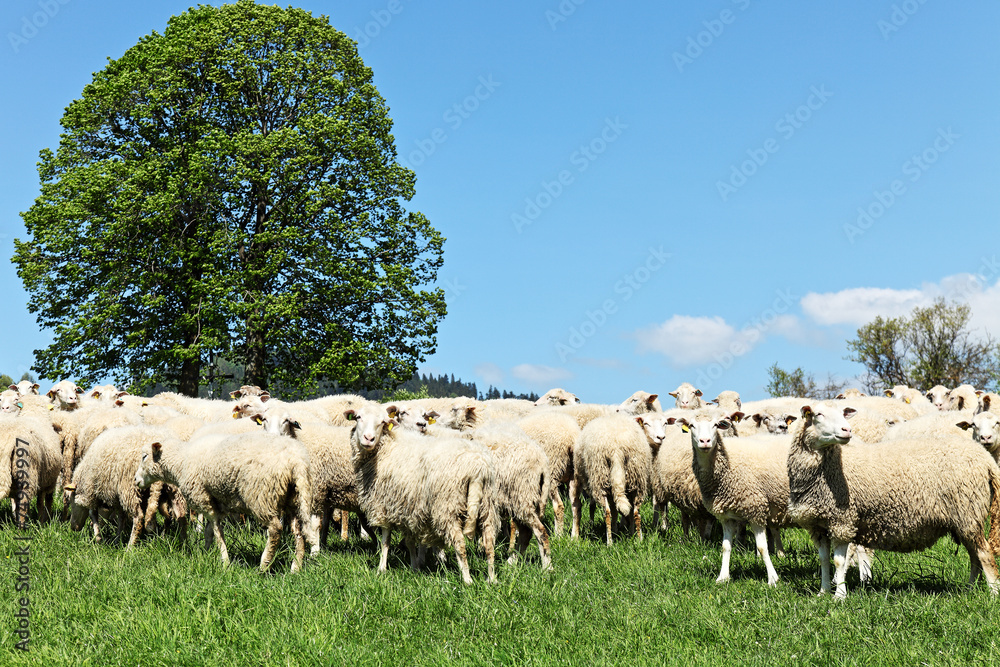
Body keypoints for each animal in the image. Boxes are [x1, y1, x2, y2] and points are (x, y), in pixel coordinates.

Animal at [134, 428, 317, 573]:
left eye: (144, 456)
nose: (136, 480)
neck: (181, 462)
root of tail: (297, 461)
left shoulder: (204, 499)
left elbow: (216, 530)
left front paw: (224, 561)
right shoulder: (215, 501)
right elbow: (208, 531)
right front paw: (206, 553)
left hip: (261, 496)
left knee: (275, 529)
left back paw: (263, 565)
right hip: (294, 498)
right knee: (299, 533)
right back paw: (295, 568)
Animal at [346, 403, 498, 584]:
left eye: (383, 422)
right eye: (358, 417)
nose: (368, 438)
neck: (385, 447)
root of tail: (478, 468)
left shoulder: (384, 503)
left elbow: (386, 539)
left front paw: (381, 569)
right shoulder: (408, 508)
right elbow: (411, 541)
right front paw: (415, 567)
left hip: (448, 506)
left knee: (460, 544)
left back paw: (467, 580)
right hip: (486, 505)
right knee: (489, 542)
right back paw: (491, 579)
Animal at [571, 414, 652, 545]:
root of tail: (616, 449)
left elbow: (613, 511)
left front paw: (614, 532)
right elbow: (617, 511)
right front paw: (619, 531)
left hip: (600, 477)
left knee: (607, 513)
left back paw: (610, 543)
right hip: (636, 478)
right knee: (635, 512)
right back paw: (638, 540)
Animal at [680, 415, 792, 586]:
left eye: (715, 425)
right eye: (692, 425)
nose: (705, 441)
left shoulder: (755, 509)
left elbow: (762, 547)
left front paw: (772, 579)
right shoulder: (726, 516)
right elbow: (725, 547)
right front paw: (723, 577)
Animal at [786, 402, 1000, 598]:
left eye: (843, 413)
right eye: (818, 414)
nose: (847, 430)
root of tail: (986, 459)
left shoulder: (842, 520)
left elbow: (839, 561)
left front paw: (839, 596)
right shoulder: (817, 525)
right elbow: (823, 560)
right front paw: (822, 593)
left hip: (968, 512)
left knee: (984, 553)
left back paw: (992, 594)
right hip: (964, 519)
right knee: (974, 556)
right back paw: (970, 589)